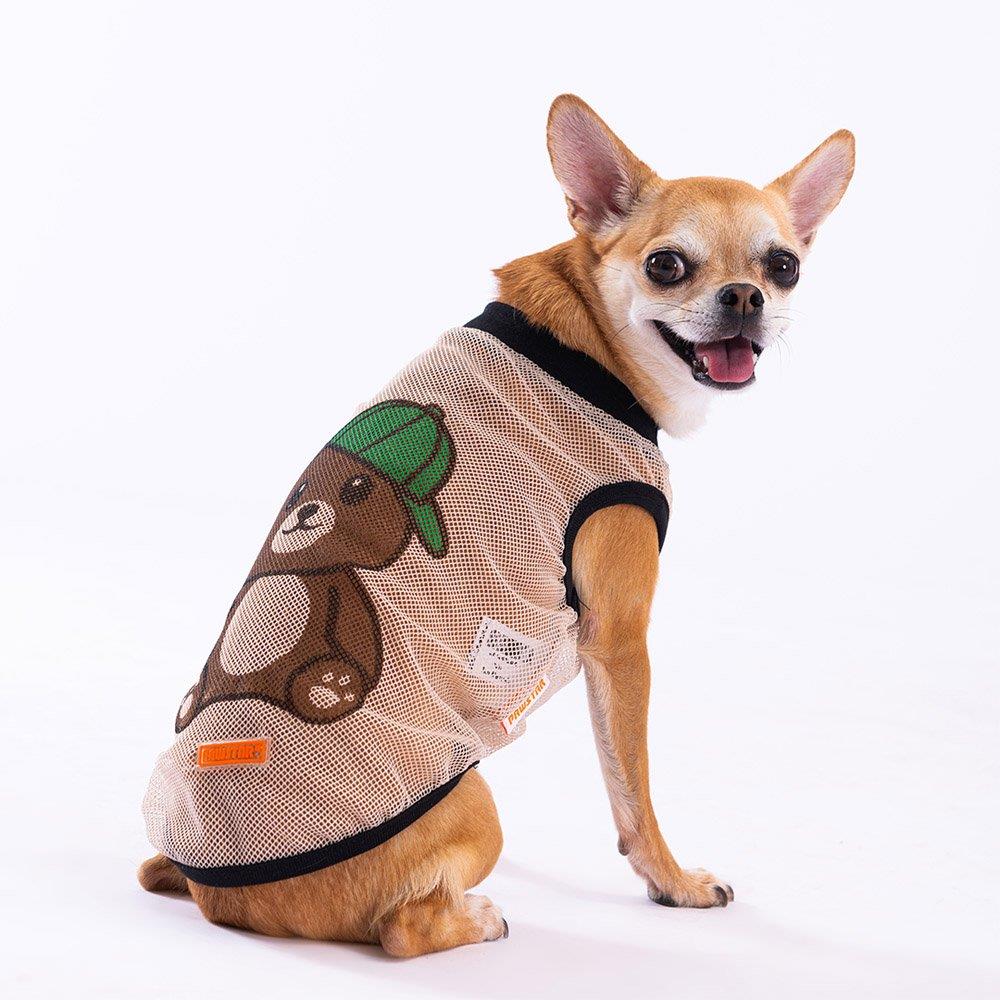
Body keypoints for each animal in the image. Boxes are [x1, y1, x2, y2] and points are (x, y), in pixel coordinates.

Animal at [175, 400, 455, 731]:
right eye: (298, 492)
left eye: (358, 489)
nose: (305, 510)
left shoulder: (341, 590)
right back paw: (192, 703)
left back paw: (327, 686)